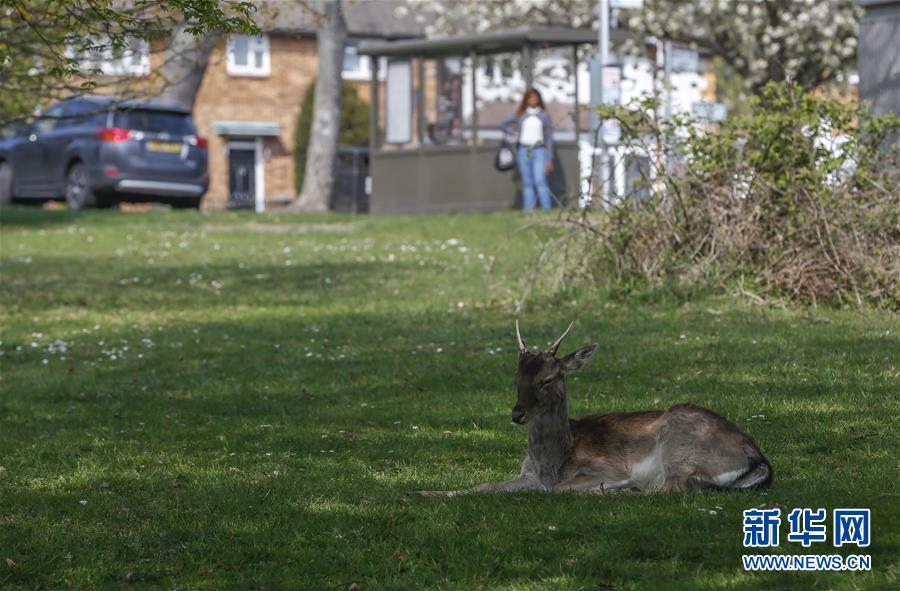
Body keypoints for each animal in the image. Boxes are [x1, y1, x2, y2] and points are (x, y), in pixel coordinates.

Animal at [409, 321, 772, 496]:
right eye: (516, 378)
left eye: (547, 379)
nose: (517, 414)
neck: (551, 463)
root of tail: (759, 458)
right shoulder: (527, 477)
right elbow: (481, 486)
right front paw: (419, 491)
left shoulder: (605, 468)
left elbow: (557, 489)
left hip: (681, 449)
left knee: (670, 489)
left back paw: (625, 491)